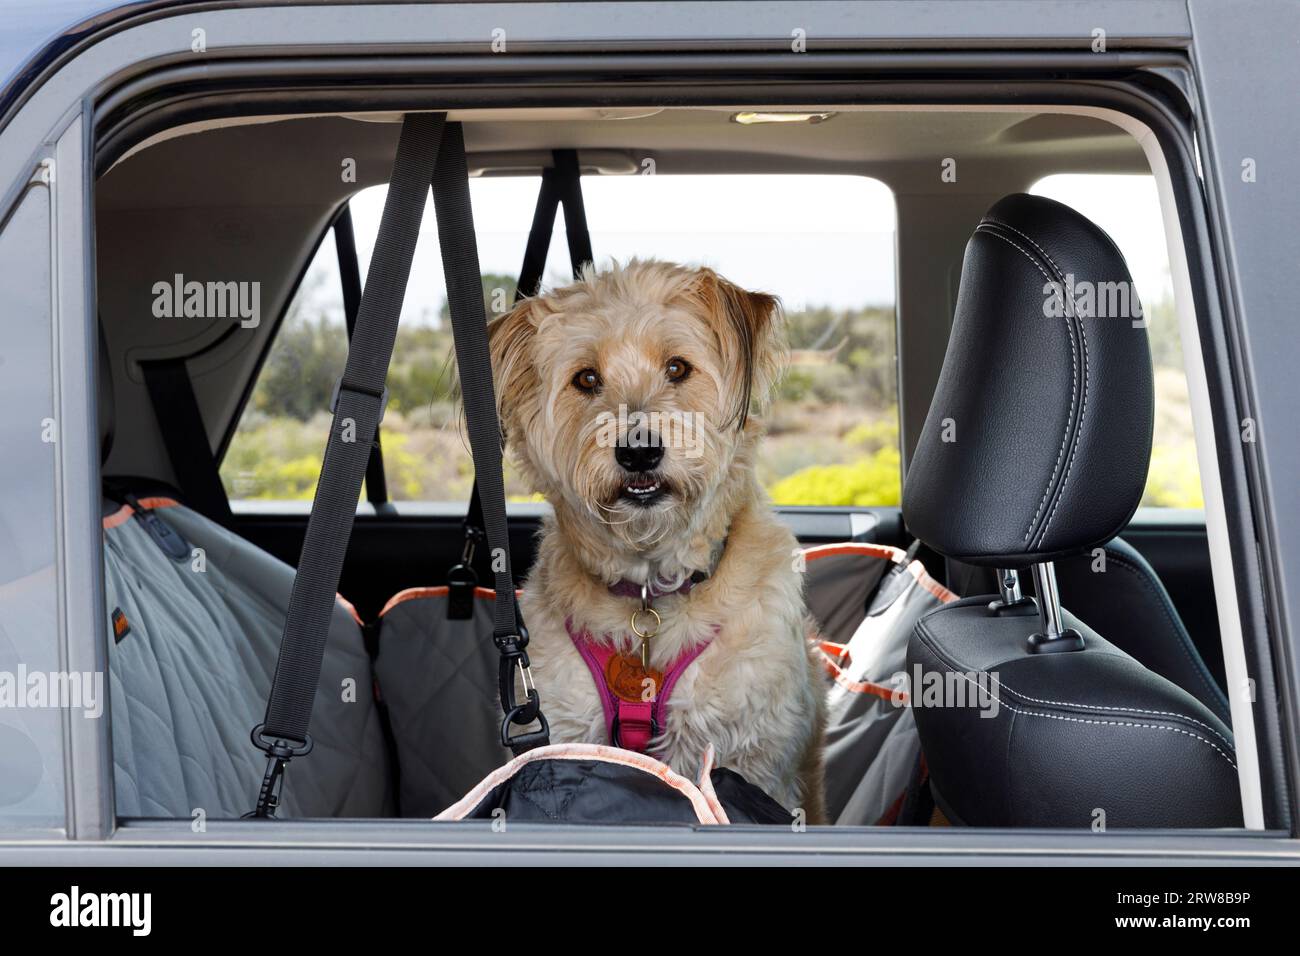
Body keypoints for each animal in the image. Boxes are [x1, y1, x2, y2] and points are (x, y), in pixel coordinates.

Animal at [488, 261, 821, 822]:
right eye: (587, 378)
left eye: (678, 368)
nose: (638, 451)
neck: (649, 591)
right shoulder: (567, 726)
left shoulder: (750, 756)